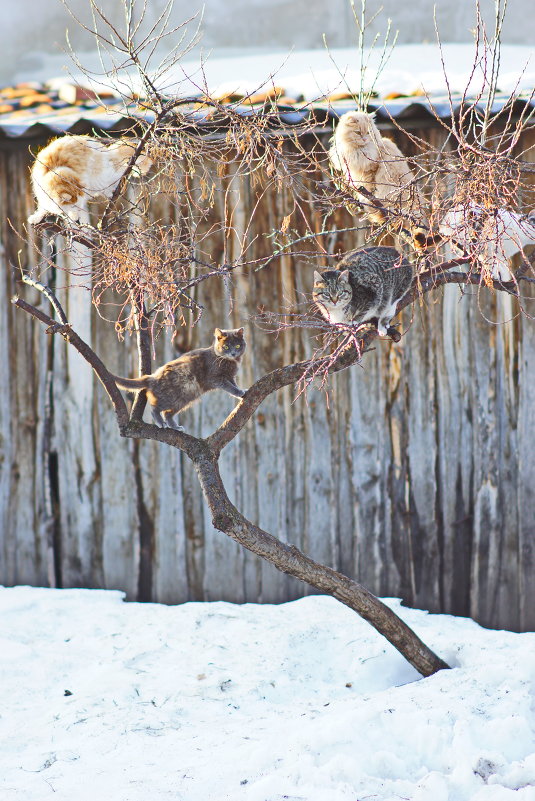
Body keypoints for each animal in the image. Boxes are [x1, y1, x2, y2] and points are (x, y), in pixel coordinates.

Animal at [114, 326, 248, 432]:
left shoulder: (230, 376)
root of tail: (152, 377)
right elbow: (229, 387)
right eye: (226, 347)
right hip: (173, 396)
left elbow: (234, 384)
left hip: (184, 399)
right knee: (155, 408)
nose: (233, 353)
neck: (230, 362)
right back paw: (161, 423)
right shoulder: (216, 377)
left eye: (237, 345)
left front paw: (242, 391)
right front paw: (239, 392)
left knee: (167, 413)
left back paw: (176, 427)